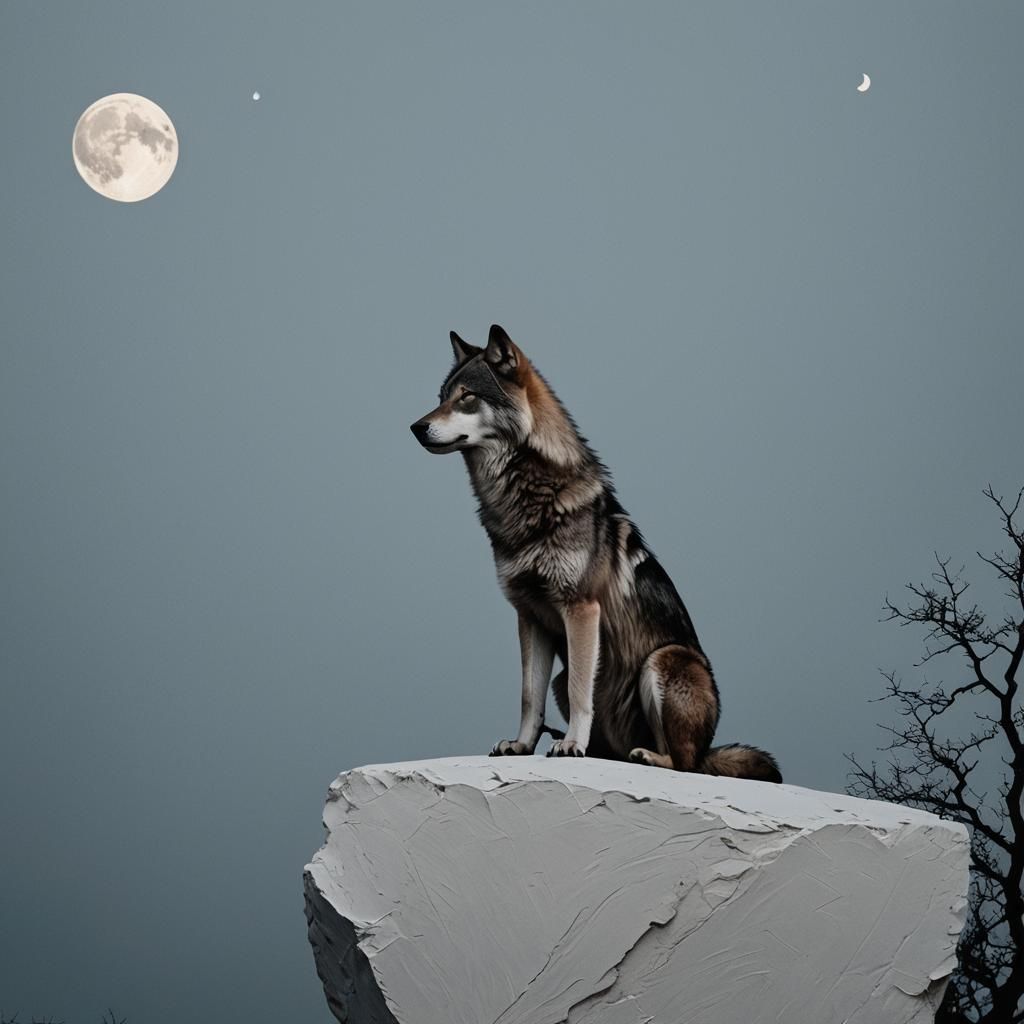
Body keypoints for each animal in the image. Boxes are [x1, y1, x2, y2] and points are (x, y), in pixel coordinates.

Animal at [410, 325, 781, 782]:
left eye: (466, 397)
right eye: (441, 396)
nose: (416, 427)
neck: (526, 501)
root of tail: (710, 747)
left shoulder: (581, 609)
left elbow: (579, 693)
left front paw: (571, 745)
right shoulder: (529, 616)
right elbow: (528, 696)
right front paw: (522, 746)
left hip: (663, 660)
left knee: (686, 764)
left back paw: (647, 756)